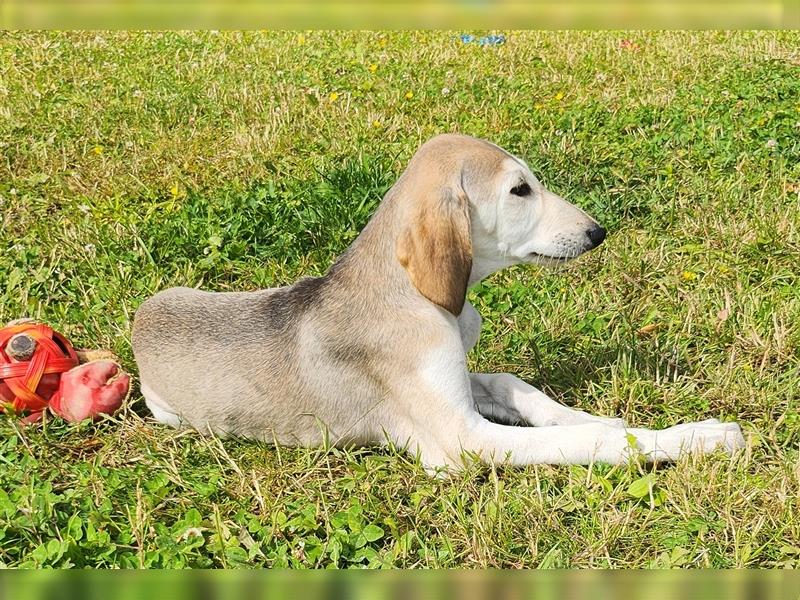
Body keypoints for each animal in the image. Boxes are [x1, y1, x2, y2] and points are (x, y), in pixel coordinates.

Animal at [133, 134, 744, 472]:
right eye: (520, 190)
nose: (598, 232)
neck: (418, 297)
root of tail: (140, 318)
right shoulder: (461, 441)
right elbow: (585, 441)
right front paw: (696, 437)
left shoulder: (460, 381)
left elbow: (519, 388)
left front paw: (604, 416)